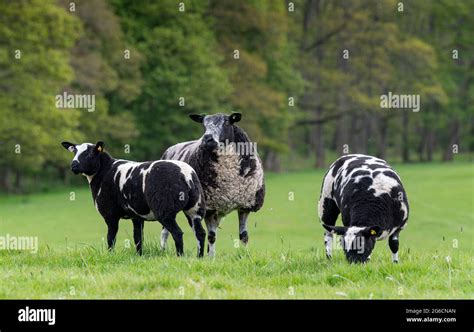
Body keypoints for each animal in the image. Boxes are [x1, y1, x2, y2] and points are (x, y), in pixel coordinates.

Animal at [60, 140, 206, 256]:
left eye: (90, 154)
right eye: (74, 152)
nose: (73, 166)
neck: (103, 171)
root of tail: (186, 175)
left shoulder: (110, 214)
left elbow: (111, 237)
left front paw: (110, 255)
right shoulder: (136, 216)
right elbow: (138, 238)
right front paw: (139, 256)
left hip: (165, 211)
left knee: (178, 233)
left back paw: (180, 256)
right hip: (195, 209)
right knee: (200, 233)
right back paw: (199, 257)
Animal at [162, 113, 266, 255]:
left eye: (227, 122)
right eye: (204, 125)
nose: (207, 139)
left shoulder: (245, 206)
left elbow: (244, 235)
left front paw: (245, 255)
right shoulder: (209, 208)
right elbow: (211, 236)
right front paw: (211, 257)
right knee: (167, 231)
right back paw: (163, 250)